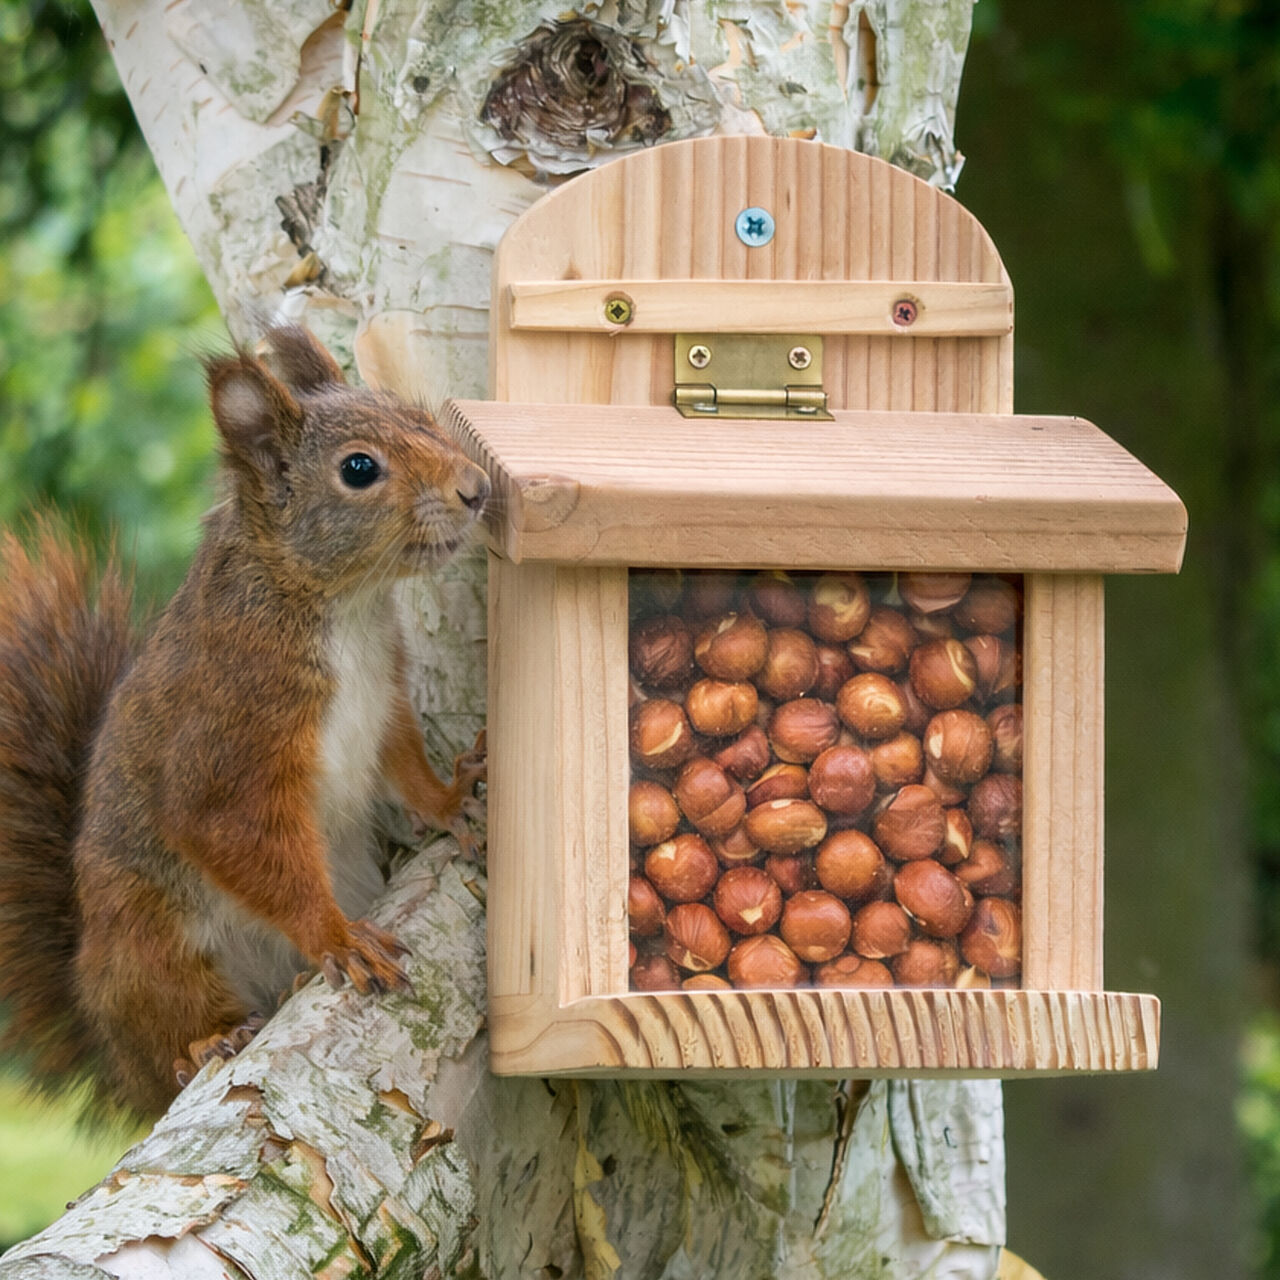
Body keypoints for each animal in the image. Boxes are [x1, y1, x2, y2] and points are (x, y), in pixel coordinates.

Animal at [0, 325, 490, 1120]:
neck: (340, 606)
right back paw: (207, 1043)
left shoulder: (383, 701)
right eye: (359, 469)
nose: (475, 488)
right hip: (148, 946)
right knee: (169, 1026)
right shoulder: (229, 736)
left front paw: (452, 802)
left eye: (415, 414)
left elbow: (406, 769)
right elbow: (235, 837)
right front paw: (336, 938)